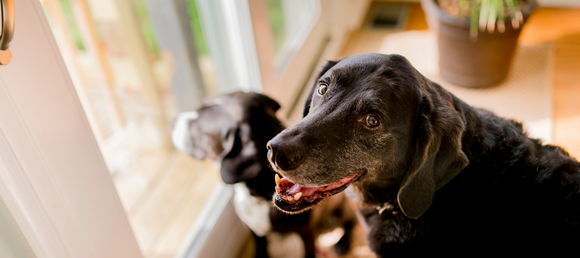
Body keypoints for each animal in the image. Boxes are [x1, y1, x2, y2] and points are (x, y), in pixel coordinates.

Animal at [170, 91, 356, 256]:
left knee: (351, 221)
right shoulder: (252, 229)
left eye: (197, 126)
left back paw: (343, 242)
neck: (257, 195)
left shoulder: (306, 233)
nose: (172, 121)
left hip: (342, 208)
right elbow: (260, 246)